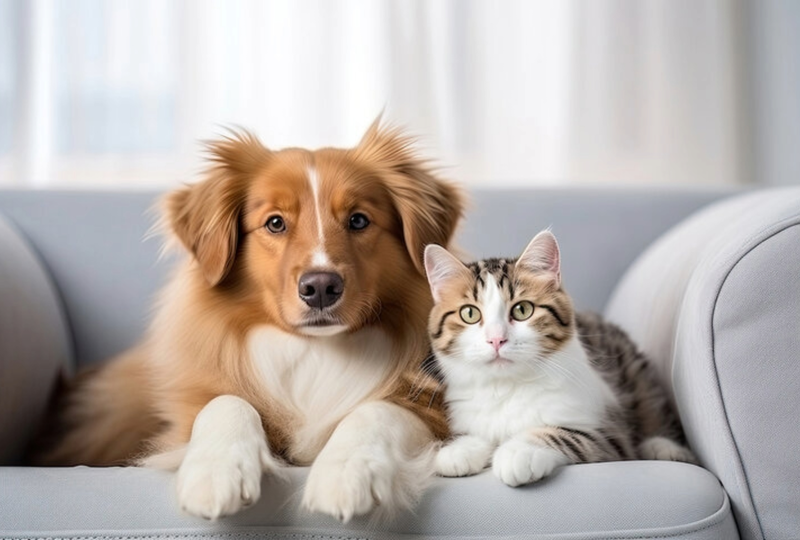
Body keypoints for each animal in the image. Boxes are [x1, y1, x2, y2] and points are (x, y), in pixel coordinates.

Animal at [32, 120, 462, 520]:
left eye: (358, 220)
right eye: (275, 223)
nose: (321, 287)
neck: (316, 352)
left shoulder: (434, 412)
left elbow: (379, 410)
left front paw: (347, 472)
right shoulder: (192, 409)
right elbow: (225, 402)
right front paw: (215, 472)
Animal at [424, 230, 692, 488]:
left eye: (522, 310)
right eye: (469, 313)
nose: (497, 340)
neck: (506, 387)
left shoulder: (609, 435)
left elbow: (557, 434)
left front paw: (518, 453)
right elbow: (479, 435)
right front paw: (458, 451)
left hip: (638, 377)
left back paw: (666, 448)